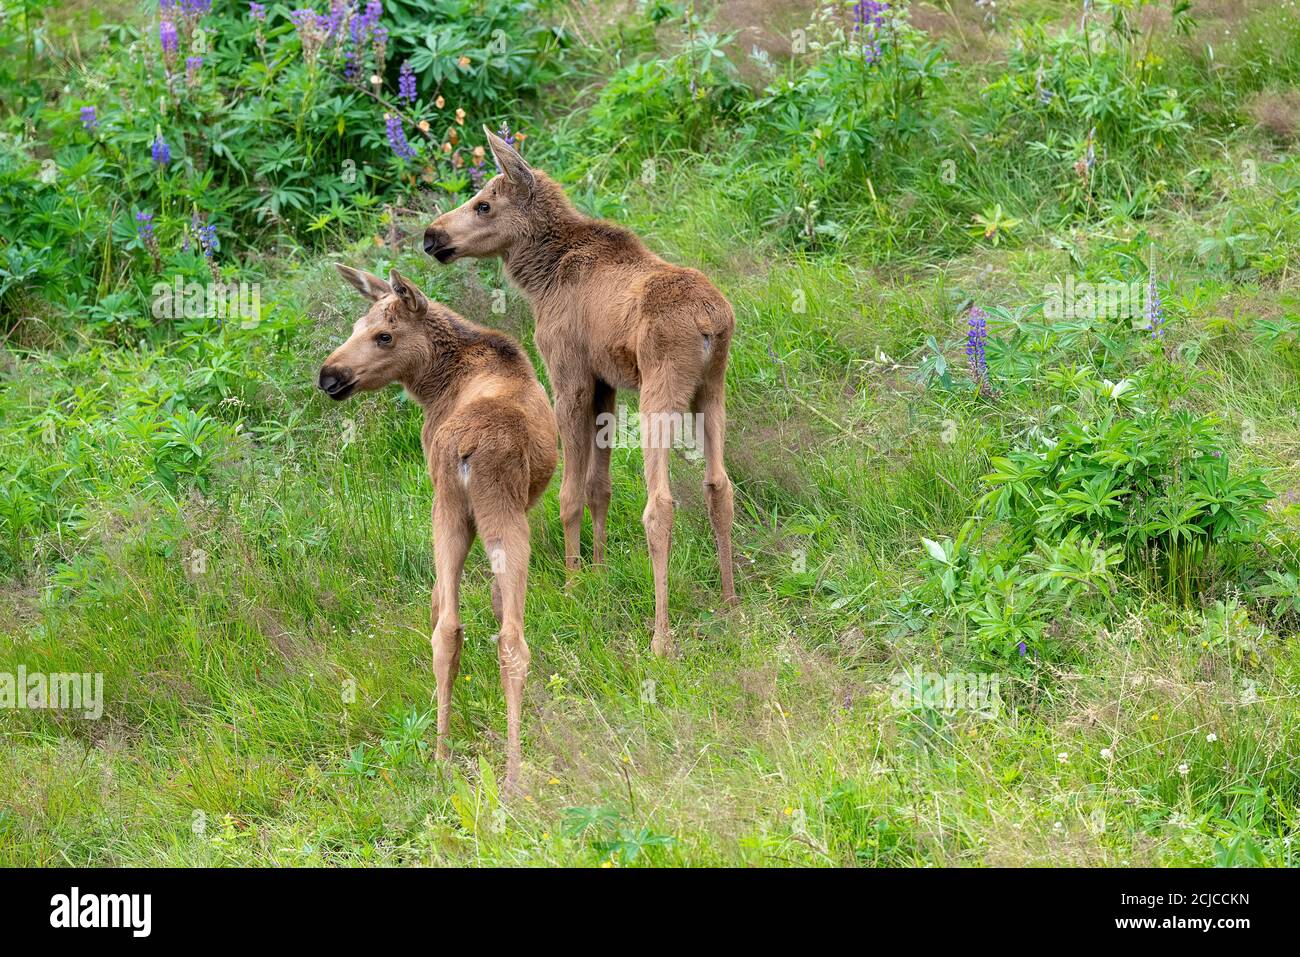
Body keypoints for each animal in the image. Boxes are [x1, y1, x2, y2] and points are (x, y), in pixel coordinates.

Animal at [319, 263, 559, 790]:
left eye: (383, 335)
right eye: (355, 327)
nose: (329, 375)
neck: (434, 385)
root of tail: (467, 448)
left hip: (452, 508)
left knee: (451, 627)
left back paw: (444, 756)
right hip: (486, 513)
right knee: (506, 636)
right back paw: (507, 770)